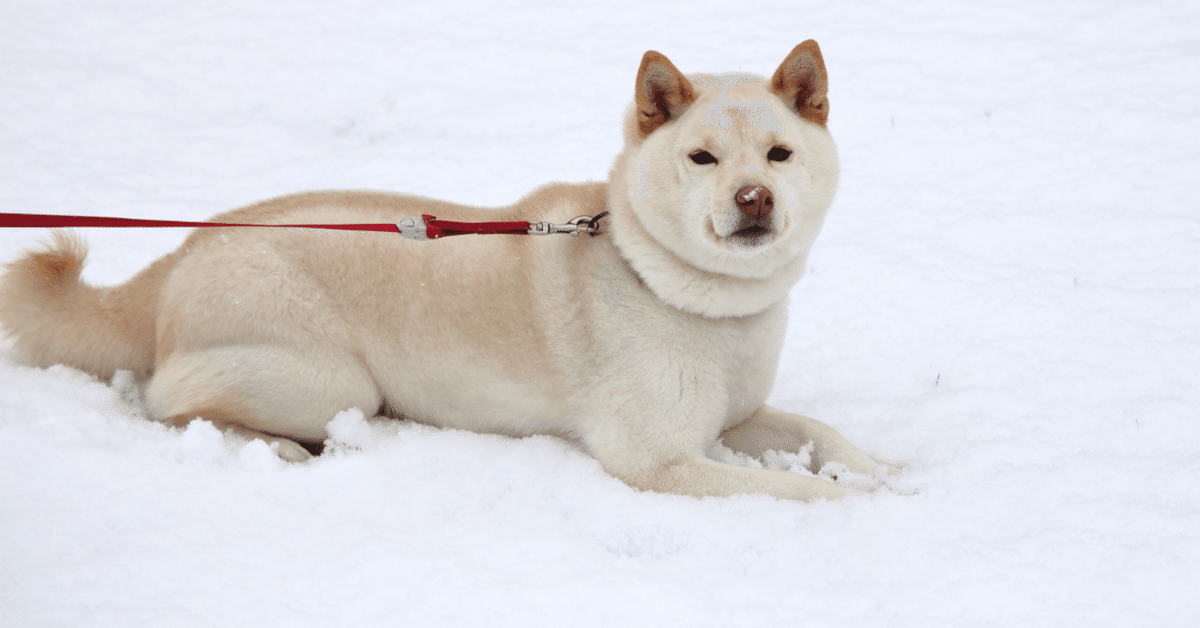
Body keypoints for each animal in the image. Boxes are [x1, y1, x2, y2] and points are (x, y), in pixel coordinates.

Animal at [0, 40, 897, 501]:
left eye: (778, 155)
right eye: (703, 158)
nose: (753, 198)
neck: (688, 295)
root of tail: (179, 253)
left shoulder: (735, 420)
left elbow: (824, 437)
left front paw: (890, 470)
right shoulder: (658, 460)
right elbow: (805, 490)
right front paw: (870, 501)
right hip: (332, 384)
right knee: (168, 406)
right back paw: (283, 451)